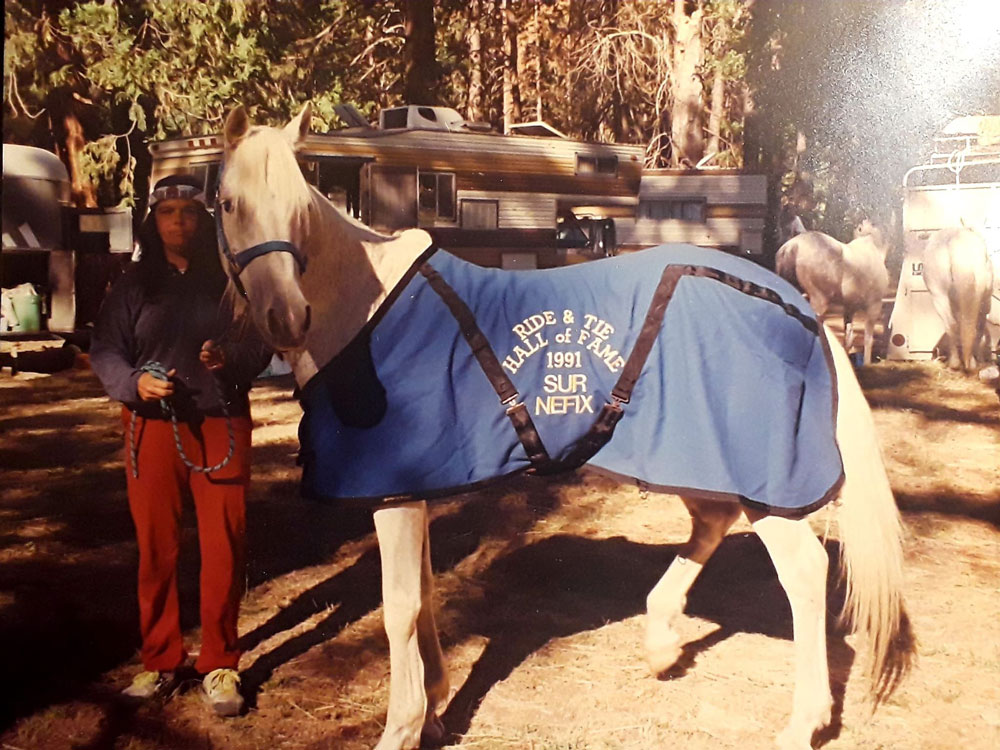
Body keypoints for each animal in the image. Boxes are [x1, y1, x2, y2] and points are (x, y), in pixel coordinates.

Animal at [772, 222, 892, 366]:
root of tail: (793, 246)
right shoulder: (874, 306)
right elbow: (868, 339)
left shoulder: (849, 308)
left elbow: (848, 336)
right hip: (819, 302)